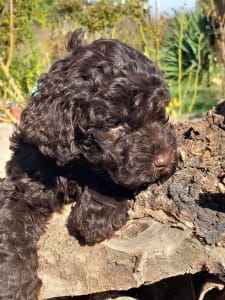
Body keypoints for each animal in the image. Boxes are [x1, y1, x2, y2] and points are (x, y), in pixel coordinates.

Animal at [0, 28, 178, 298]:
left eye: (160, 112)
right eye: (114, 124)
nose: (165, 161)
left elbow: (110, 177)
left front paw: (96, 215)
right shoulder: (23, 184)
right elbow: (10, 227)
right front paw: (12, 284)